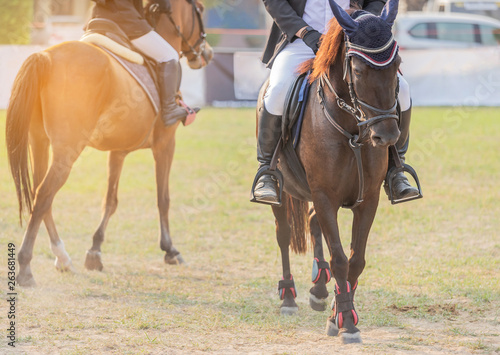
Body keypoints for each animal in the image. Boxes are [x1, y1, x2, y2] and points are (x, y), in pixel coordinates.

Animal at [6, 0, 213, 288]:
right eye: (200, 10)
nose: (208, 53)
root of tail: (45, 57)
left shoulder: (118, 150)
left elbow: (110, 200)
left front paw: (94, 252)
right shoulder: (165, 144)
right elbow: (163, 198)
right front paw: (170, 250)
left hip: (40, 141)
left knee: (39, 195)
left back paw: (62, 257)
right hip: (67, 151)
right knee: (44, 194)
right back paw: (26, 268)